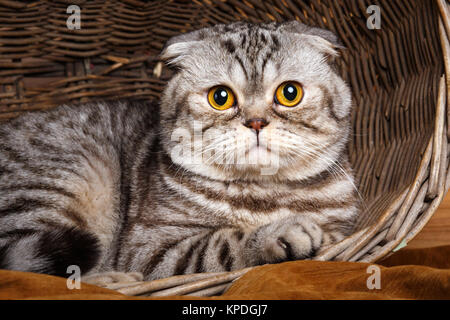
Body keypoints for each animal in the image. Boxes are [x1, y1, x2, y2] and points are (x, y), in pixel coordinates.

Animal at [0, 21, 358, 282]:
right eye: (220, 97)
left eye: (289, 93)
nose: (256, 122)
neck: (264, 195)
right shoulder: (150, 248)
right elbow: (225, 242)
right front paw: (283, 232)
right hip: (69, 178)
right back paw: (114, 280)